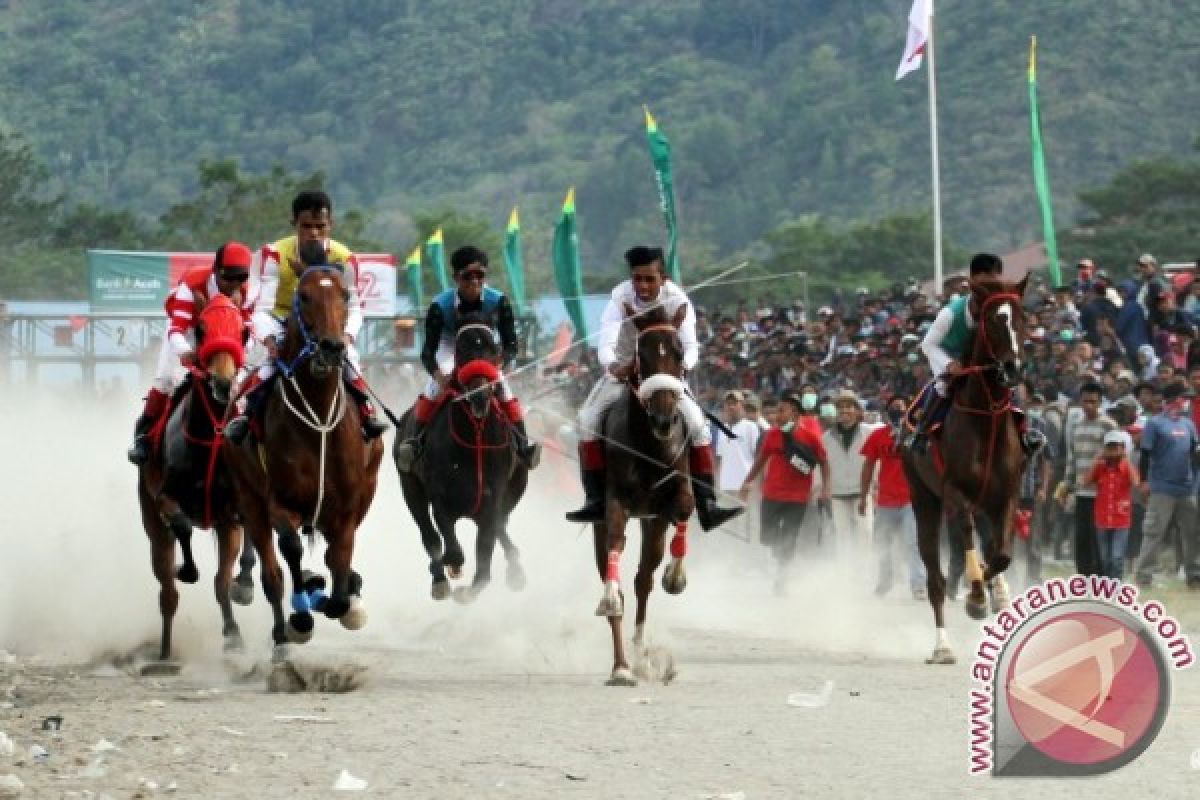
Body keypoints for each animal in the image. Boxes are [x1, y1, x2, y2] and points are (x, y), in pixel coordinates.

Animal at [136, 293, 248, 671]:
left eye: (243, 330)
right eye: (200, 329)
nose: (223, 383)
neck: (209, 434)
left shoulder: (230, 518)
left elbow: (222, 582)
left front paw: (234, 637)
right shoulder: (164, 497)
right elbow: (182, 525)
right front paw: (188, 569)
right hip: (151, 521)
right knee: (167, 591)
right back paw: (164, 652)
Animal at [220, 262, 379, 652]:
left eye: (345, 295)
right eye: (304, 296)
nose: (332, 347)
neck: (318, 418)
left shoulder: (348, 505)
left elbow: (339, 566)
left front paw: (339, 595)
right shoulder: (280, 502)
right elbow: (291, 549)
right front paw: (302, 616)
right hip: (249, 499)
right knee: (271, 573)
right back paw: (283, 630)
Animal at [590, 303, 696, 686]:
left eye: (678, 353)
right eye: (643, 354)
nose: (664, 419)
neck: (648, 444)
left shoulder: (668, 500)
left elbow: (685, 508)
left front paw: (675, 577)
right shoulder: (616, 501)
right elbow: (614, 548)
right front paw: (609, 599)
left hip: (651, 522)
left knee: (643, 579)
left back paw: (639, 656)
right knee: (618, 572)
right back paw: (622, 665)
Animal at [902, 275, 1032, 662]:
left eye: (1023, 318)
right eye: (993, 320)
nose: (1013, 368)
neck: (986, 419)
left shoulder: (1007, 495)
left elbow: (1001, 555)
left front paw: (995, 592)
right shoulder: (954, 493)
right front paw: (975, 598)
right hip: (924, 500)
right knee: (935, 578)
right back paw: (942, 646)